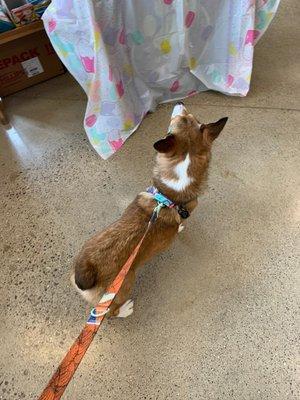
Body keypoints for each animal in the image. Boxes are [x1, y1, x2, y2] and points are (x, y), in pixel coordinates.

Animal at [72, 103, 227, 318]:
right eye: (182, 119)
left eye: (193, 118)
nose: (180, 103)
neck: (169, 195)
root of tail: (87, 271)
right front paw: (179, 228)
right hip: (124, 286)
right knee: (108, 312)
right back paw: (125, 310)